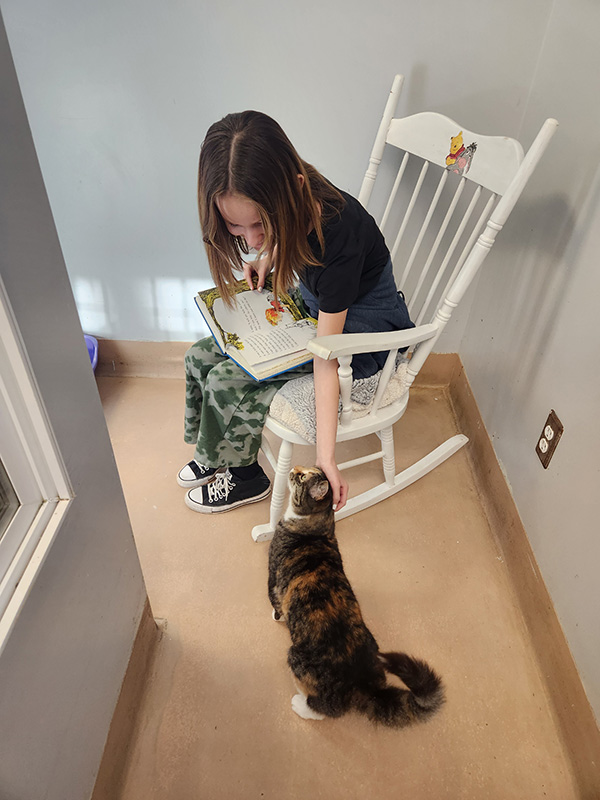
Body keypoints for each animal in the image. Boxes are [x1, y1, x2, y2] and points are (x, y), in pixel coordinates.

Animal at [268, 466, 446, 728]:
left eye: (302, 477)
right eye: (305, 470)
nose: (293, 469)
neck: (316, 527)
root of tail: (365, 683)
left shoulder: (273, 574)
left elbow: (275, 600)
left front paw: (277, 616)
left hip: (296, 659)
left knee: (326, 708)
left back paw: (300, 705)